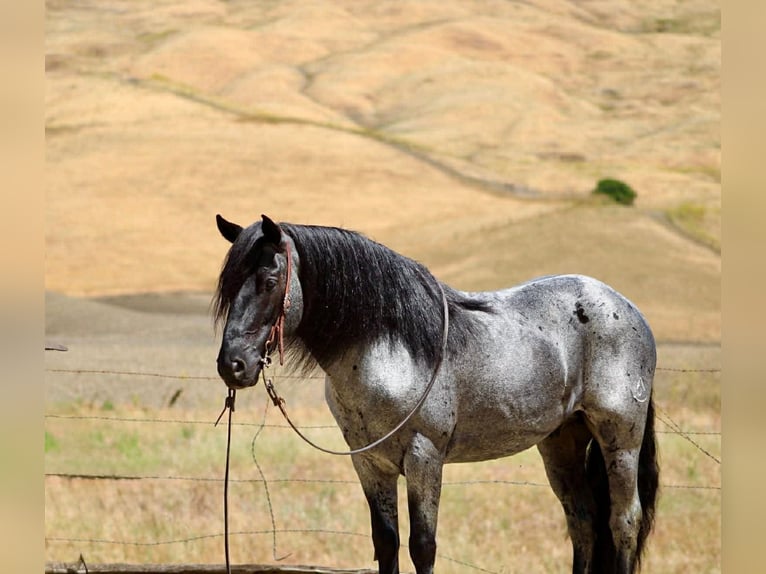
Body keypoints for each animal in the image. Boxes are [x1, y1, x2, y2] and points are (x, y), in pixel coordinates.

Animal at [213, 214, 659, 574]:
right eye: (229, 285)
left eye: (270, 282)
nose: (232, 365)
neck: (388, 348)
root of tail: (628, 310)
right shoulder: (369, 462)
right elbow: (386, 543)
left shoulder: (424, 455)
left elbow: (422, 546)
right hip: (562, 442)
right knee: (583, 521)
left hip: (620, 441)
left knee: (623, 521)